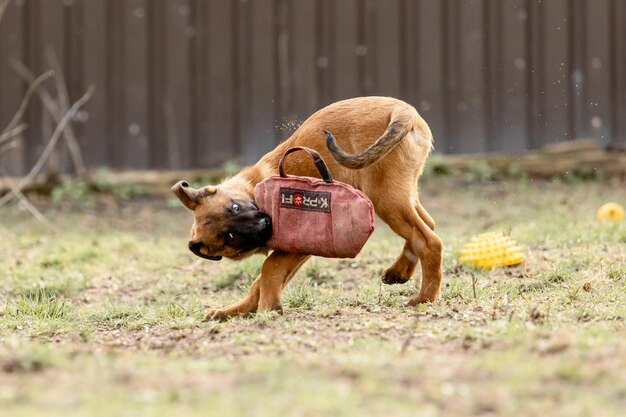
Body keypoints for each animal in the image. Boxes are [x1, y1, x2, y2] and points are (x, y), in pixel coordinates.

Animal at [173, 96, 442, 318]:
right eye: (230, 237)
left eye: (235, 208)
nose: (265, 224)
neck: (255, 189)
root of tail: (403, 110)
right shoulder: (297, 251)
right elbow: (262, 280)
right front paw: (237, 310)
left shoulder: (296, 247)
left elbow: (268, 268)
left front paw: (266, 308)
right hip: (400, 194)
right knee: (427, 225)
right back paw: (399, 271)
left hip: (385, 198)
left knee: (429, 241)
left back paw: (424, 298)